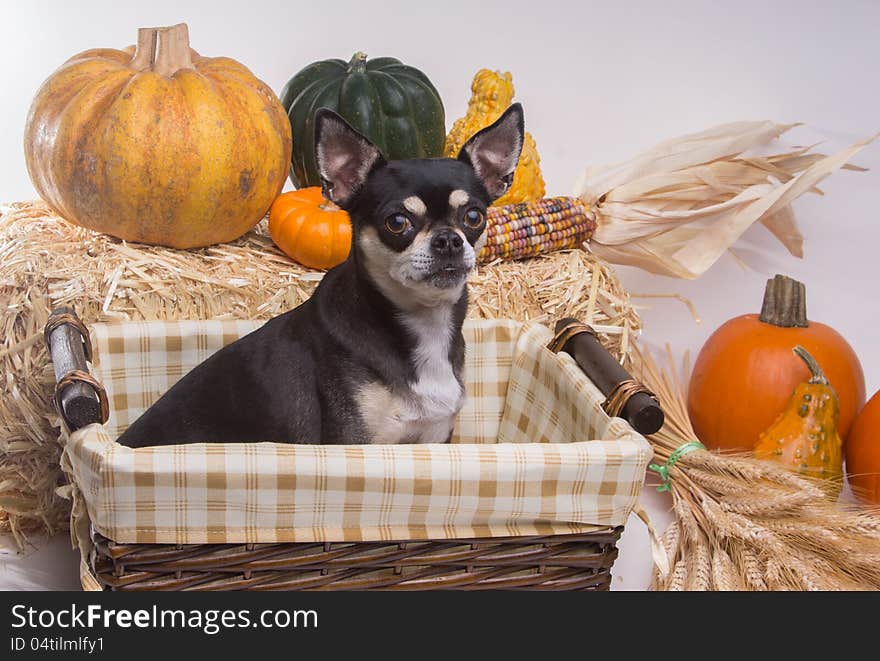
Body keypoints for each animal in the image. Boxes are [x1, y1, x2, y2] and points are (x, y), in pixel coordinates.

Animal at [119, 104, 524, 448]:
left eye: (474, 217)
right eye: (397, 222)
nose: (448, 240)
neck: (423, 324)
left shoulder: (433, 438)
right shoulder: (356, 444)